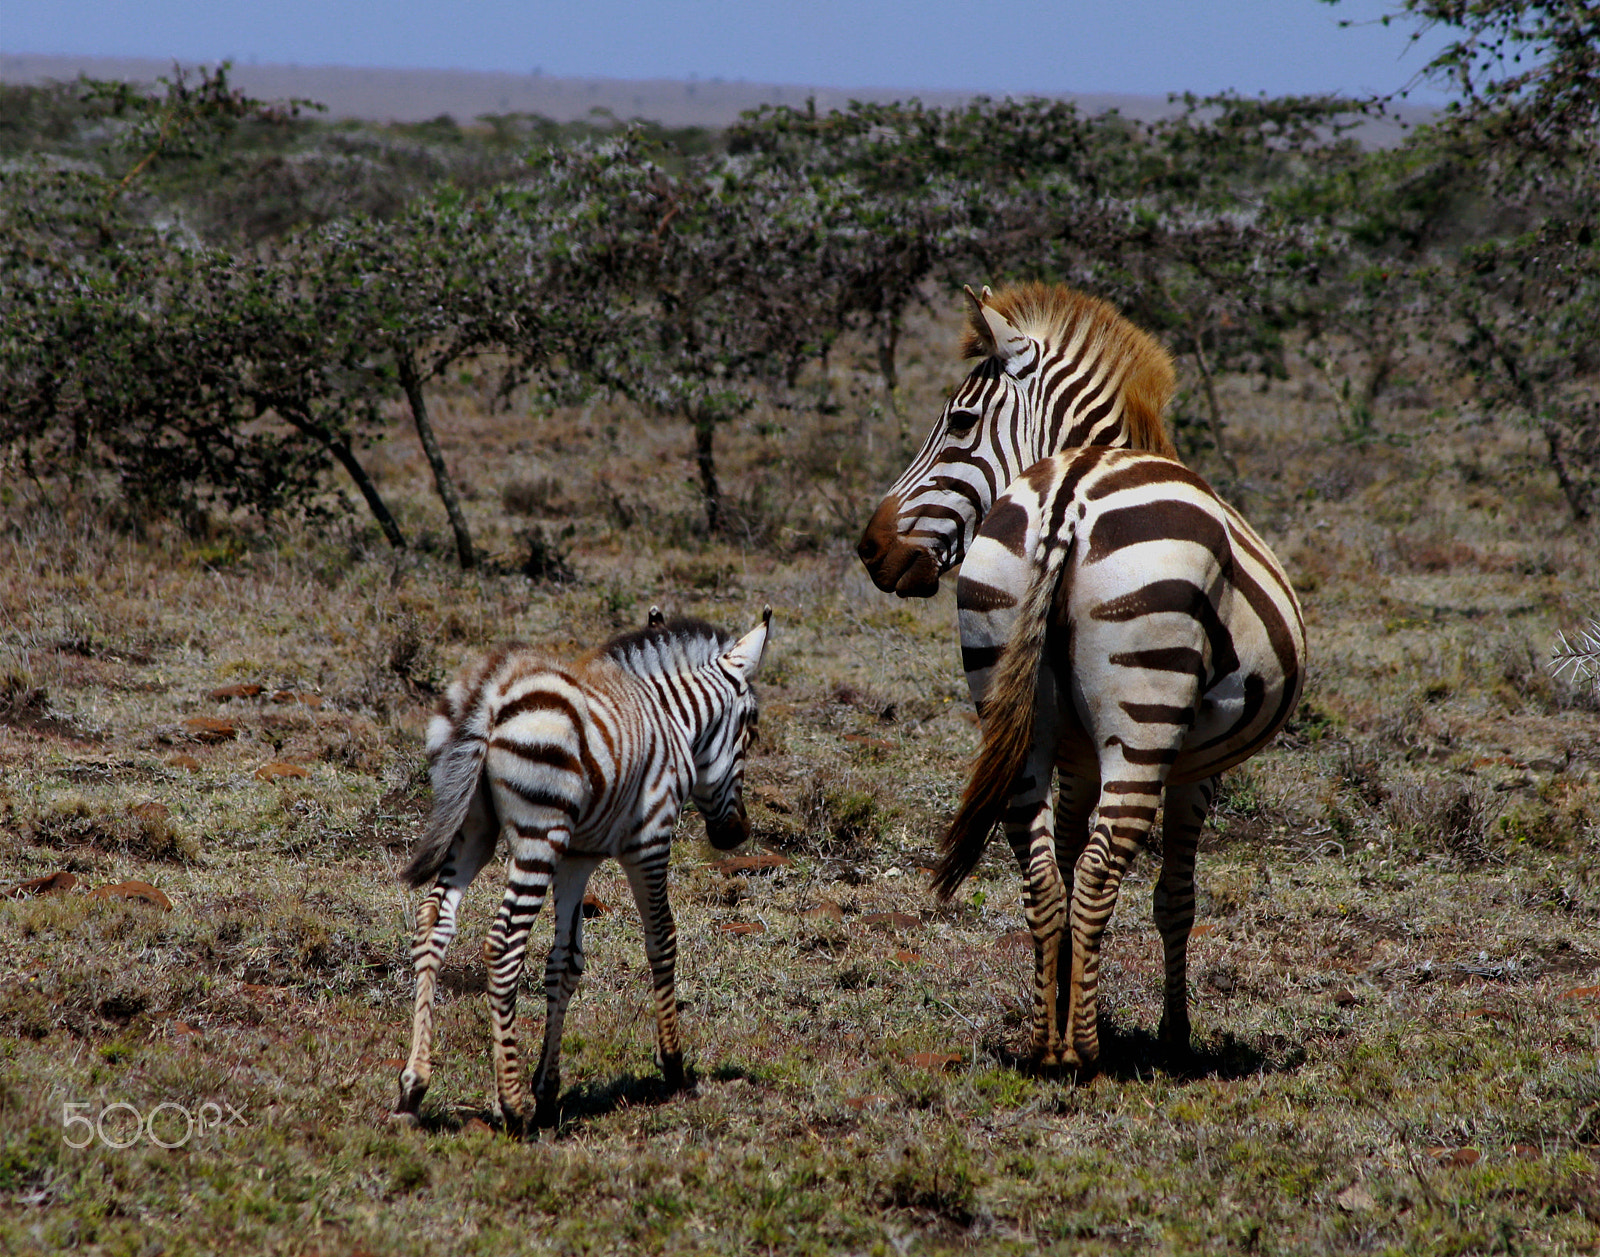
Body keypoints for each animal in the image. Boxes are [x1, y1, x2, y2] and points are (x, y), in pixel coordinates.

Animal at [400, 607, 774, 1125]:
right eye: (751, 729)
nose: (735, 834)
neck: (671, 719)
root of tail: (492, 692)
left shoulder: (577, 858)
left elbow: (566, 962)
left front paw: (548, 1088)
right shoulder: (649, 841)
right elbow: (662, 938)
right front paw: (673, 1065)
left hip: (472, 828)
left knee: (434, 921)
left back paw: (414, 1085)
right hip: (539, 834)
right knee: (504, 943)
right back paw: (511, 1103)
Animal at [864, 281, 1299, 1068]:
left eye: (960, 422)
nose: (870, 548)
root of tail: (1071, 490)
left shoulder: (1073, 756)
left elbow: (1062, 867)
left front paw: (1063, 997)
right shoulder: (1196, 768)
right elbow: (1174, 897)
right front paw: (1175, 1036)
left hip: (1016, 711)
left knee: (1042, 876)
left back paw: (1047, 1040)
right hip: (1145, 719)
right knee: (1100, 875)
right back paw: (1085, 1052)